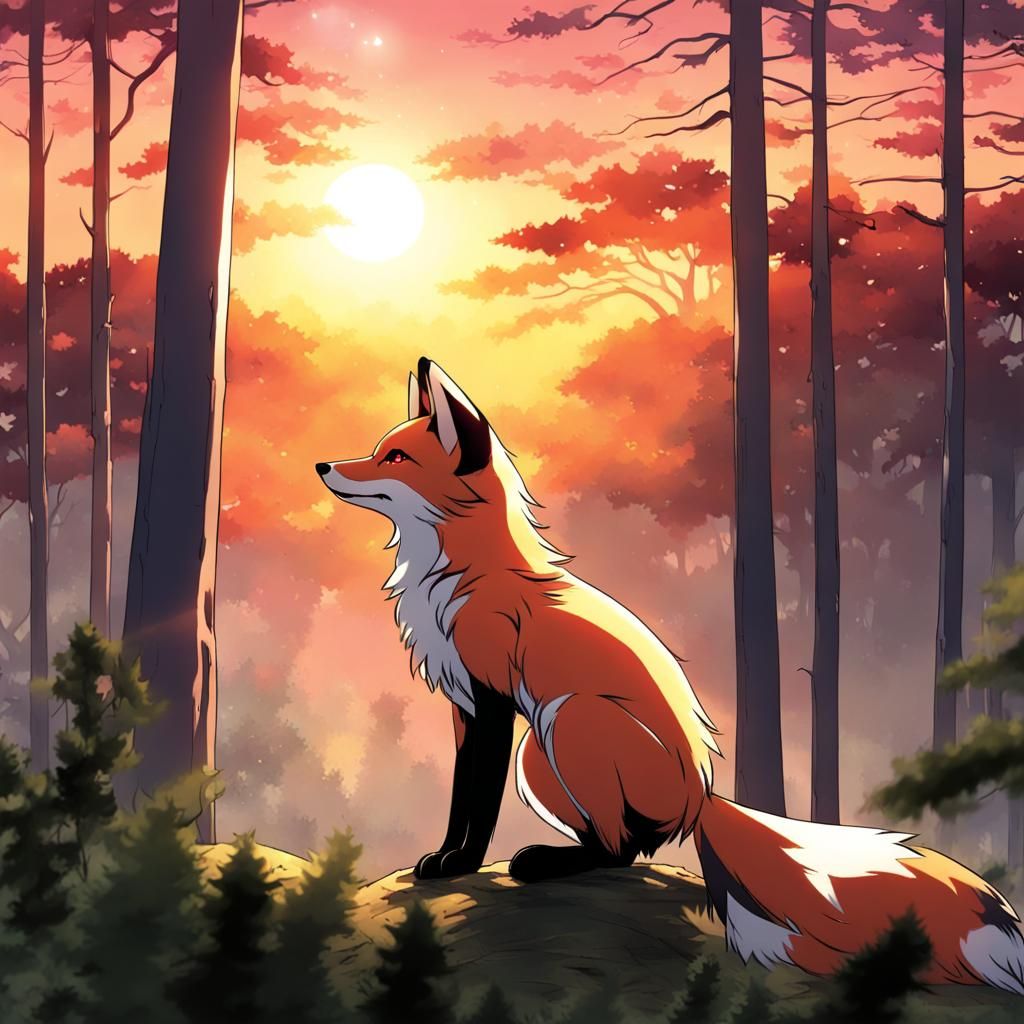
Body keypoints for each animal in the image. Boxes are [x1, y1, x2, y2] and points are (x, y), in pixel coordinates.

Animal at [316, 357, 1024, 993]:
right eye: (378, 451)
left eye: (394, 459)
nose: (322, 465)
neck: (465, 576)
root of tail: (702, 797)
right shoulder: (466, 707)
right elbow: (461, 796)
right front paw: (445, 857)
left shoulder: (491, 704)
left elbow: (477, 802)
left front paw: (460, 865)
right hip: (539, 757)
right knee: (630, 844)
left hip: (567, 720)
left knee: (618, 847)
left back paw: (547, 863)